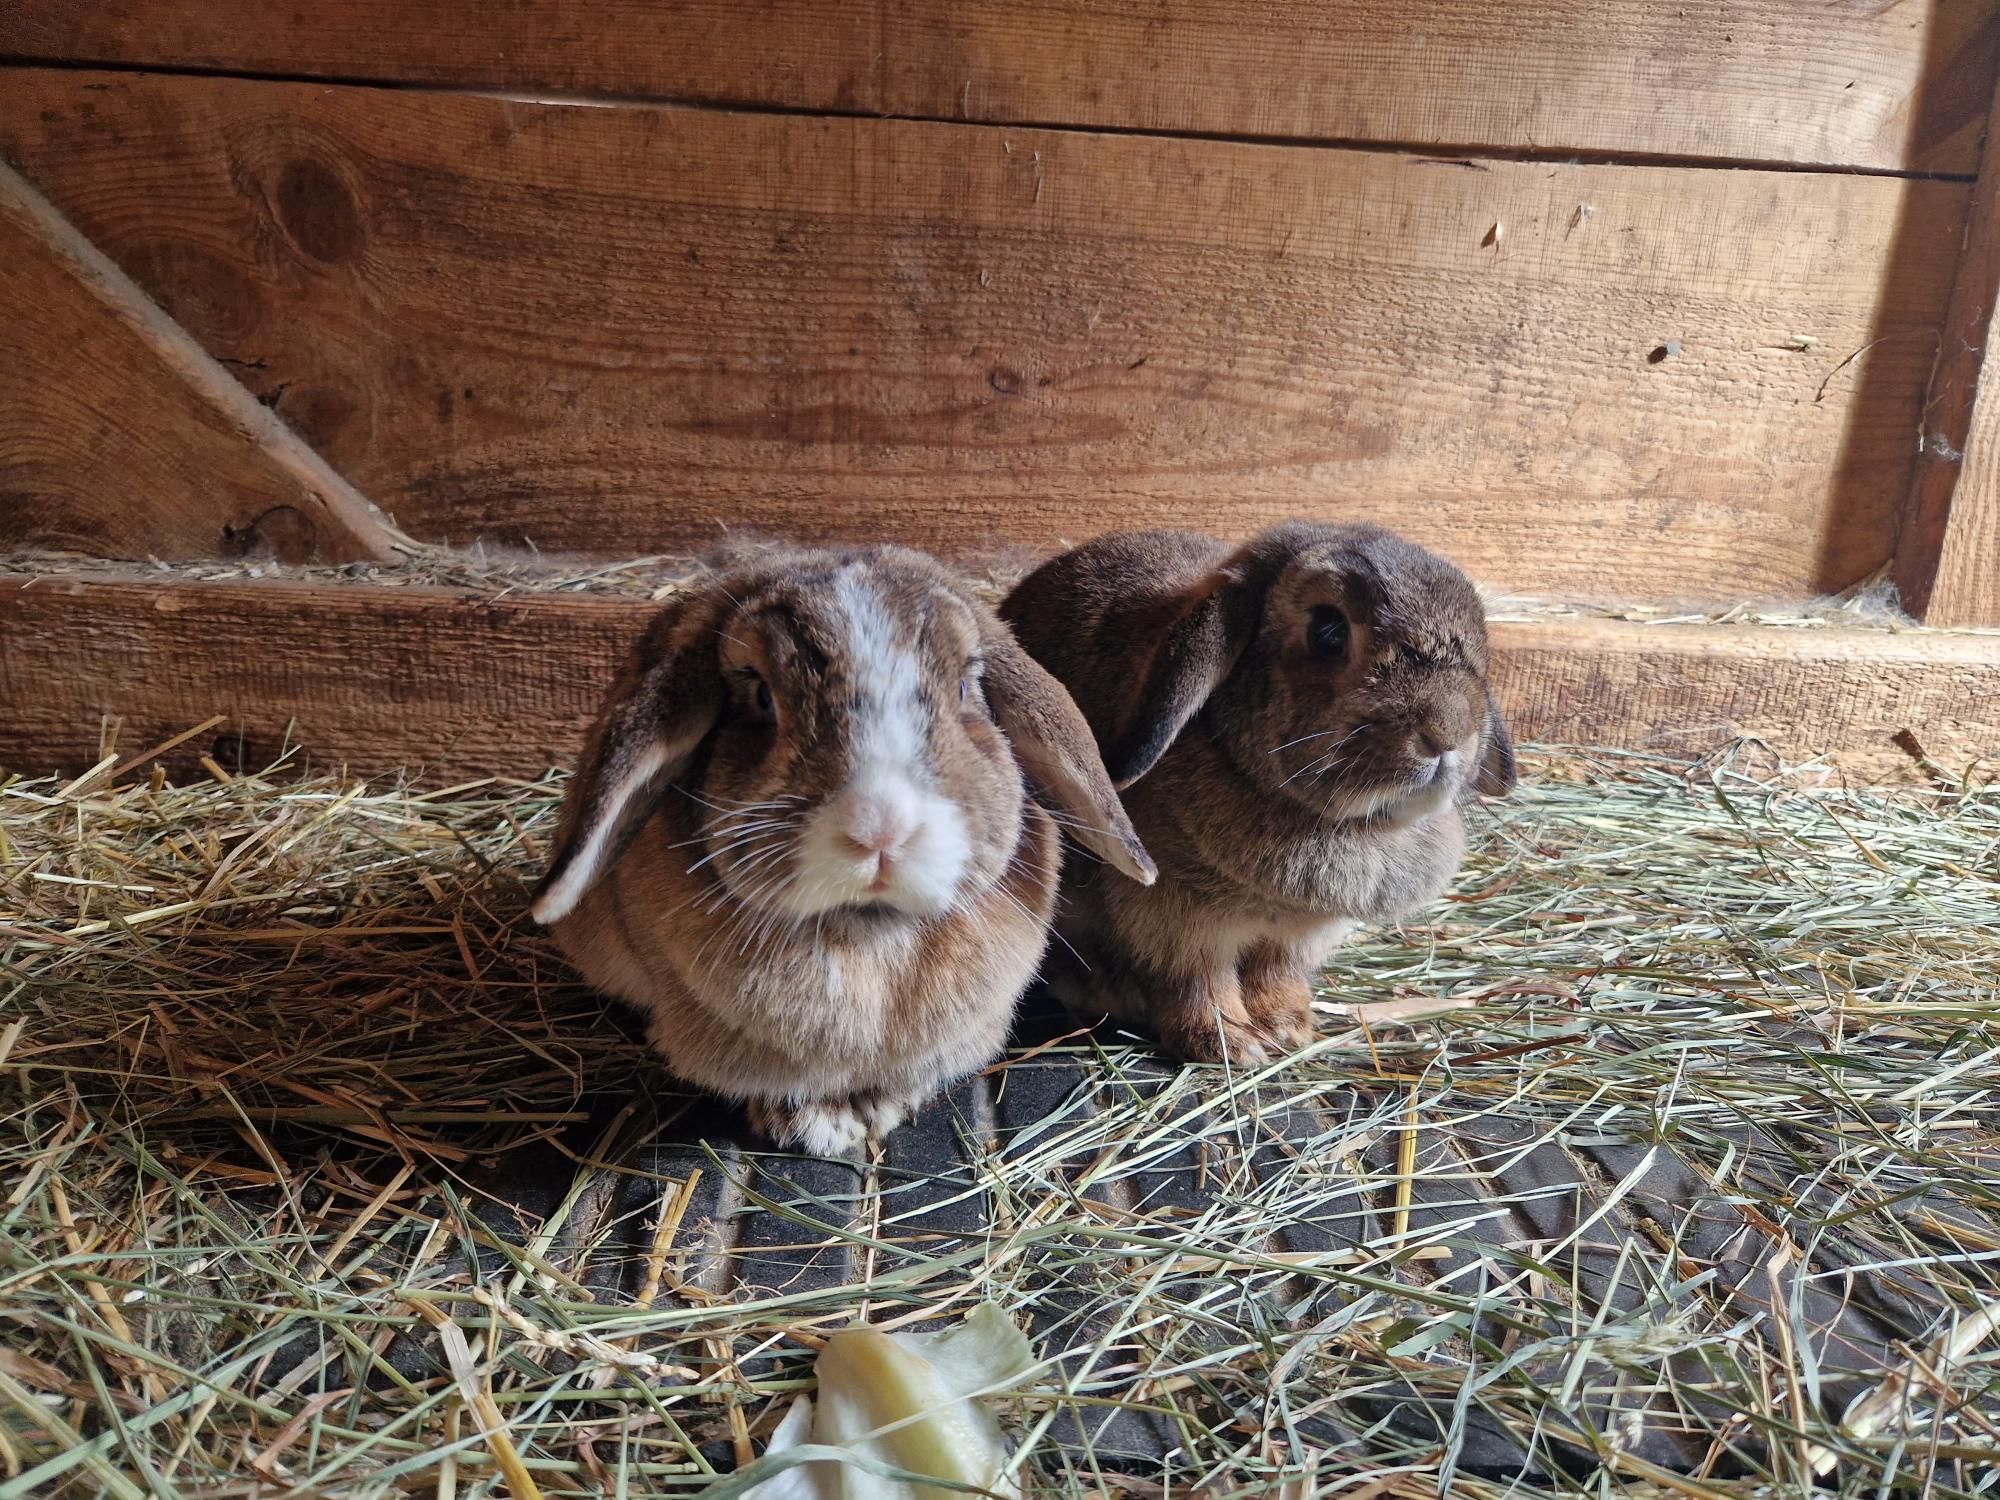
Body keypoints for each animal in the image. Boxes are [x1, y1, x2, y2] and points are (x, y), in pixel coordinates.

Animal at [530, 544, 1155, 1154]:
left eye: (963, 689)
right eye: (761, 695)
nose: (882, 828)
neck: (871, 936)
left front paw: (887, 1107)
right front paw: (818, 1126)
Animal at [999, 521, 1515, 1064]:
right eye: (1328, 631)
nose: (1448, 733)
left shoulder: (1295, 938)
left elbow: (1275, 972)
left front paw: (1288, 1028)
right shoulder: (1179, 922)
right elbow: (1197, 983)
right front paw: (1229, 1044)